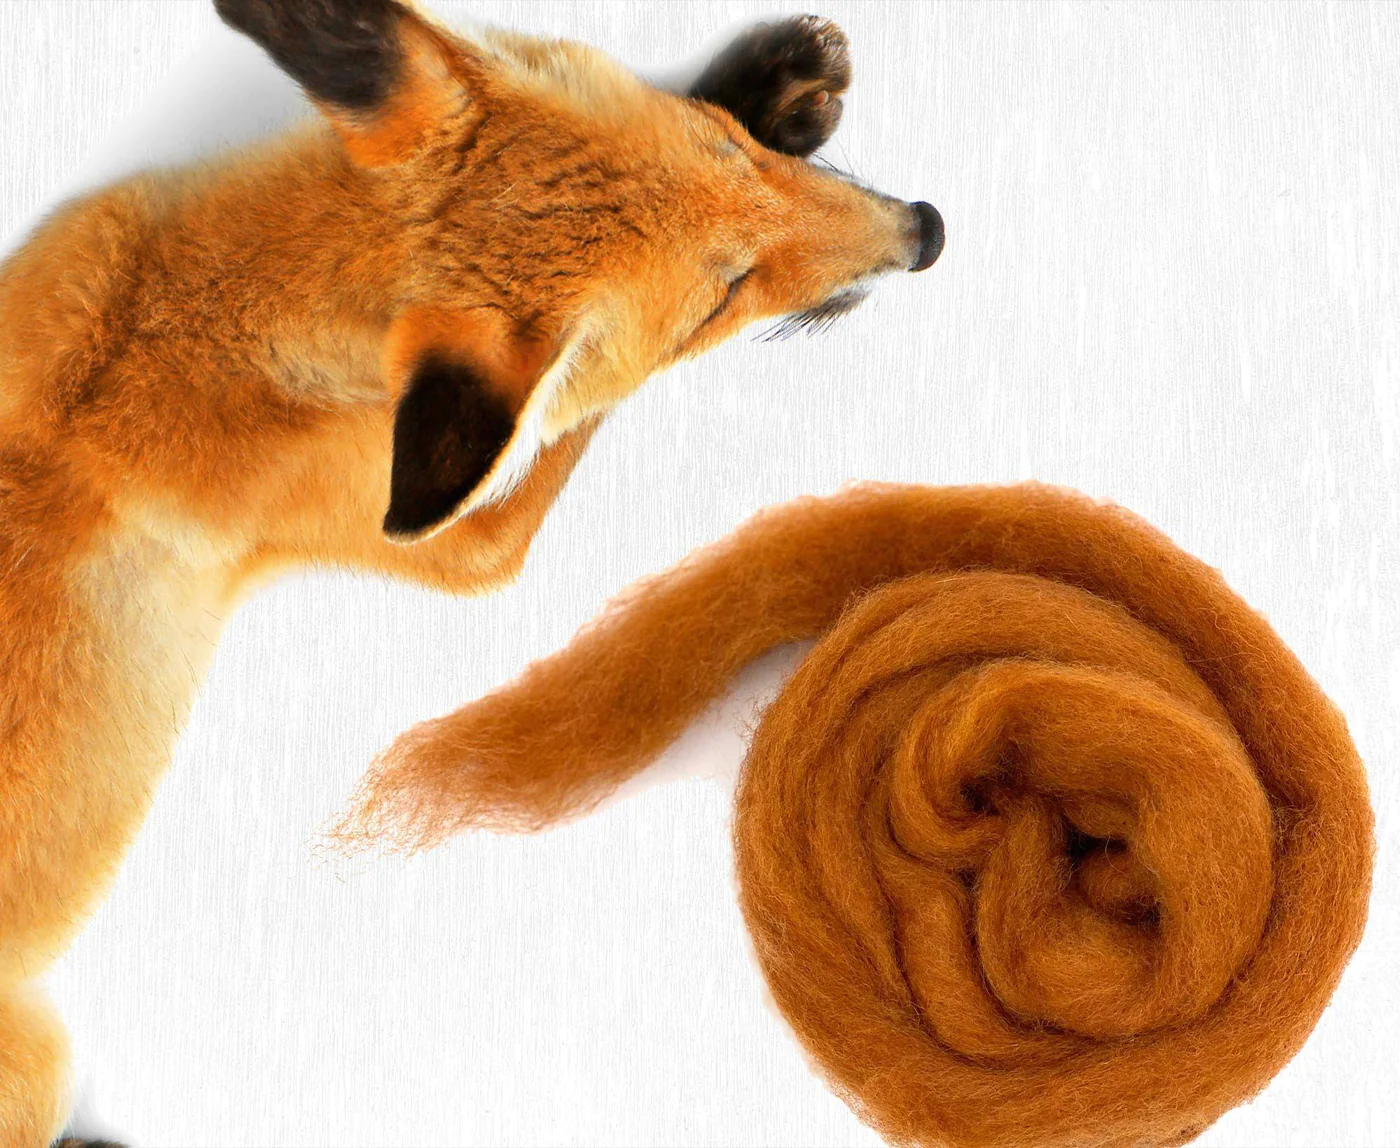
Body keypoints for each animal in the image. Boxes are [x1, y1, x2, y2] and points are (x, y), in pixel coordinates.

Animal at [0, 1, 943, 1143]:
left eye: (728, 148)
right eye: (719, 300)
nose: (927, 232)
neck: (185, 330)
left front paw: (779, 77)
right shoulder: (444, 543)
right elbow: (565, 428)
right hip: (40, 1053)